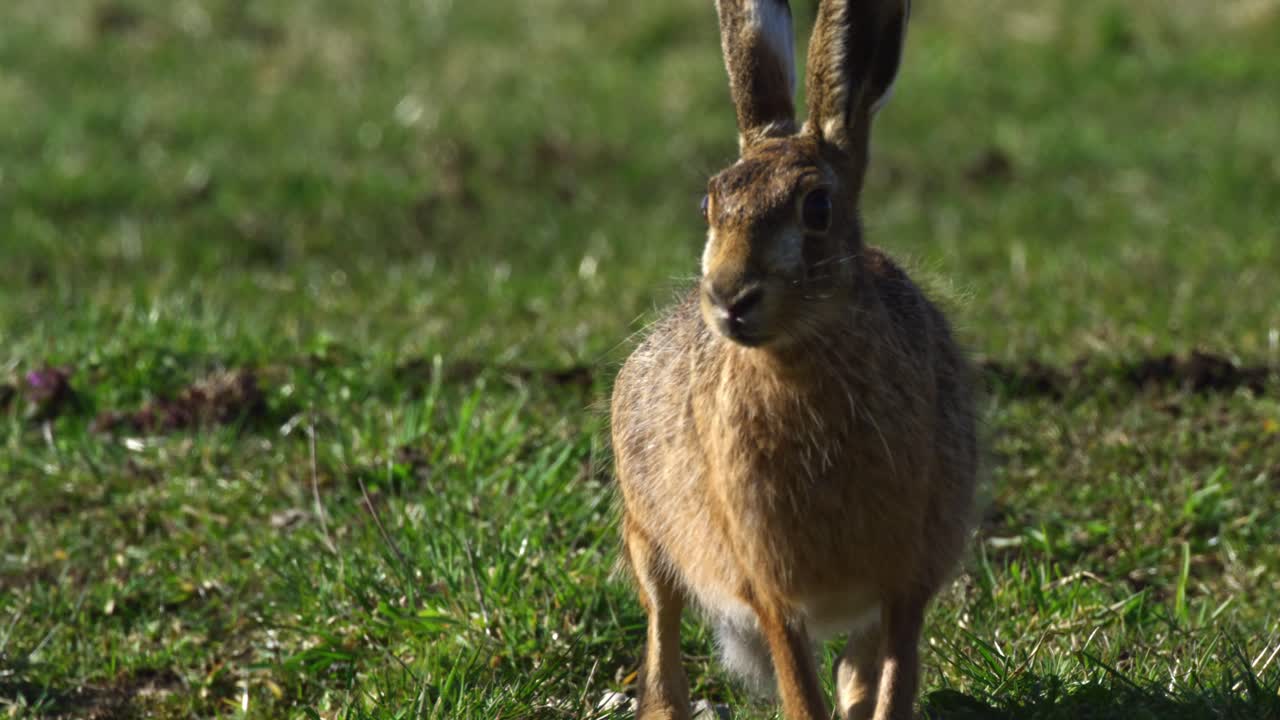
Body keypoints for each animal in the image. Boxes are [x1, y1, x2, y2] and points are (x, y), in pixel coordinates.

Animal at [609, 1, 978, 719]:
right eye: (709, 204)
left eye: (818, 207)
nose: (729, 296)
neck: (800, 363)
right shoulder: (768, 588)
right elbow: (799, 689)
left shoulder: (907, 582)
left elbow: (892, 683)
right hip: (647, 531)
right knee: (663, 636)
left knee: (857, 674)